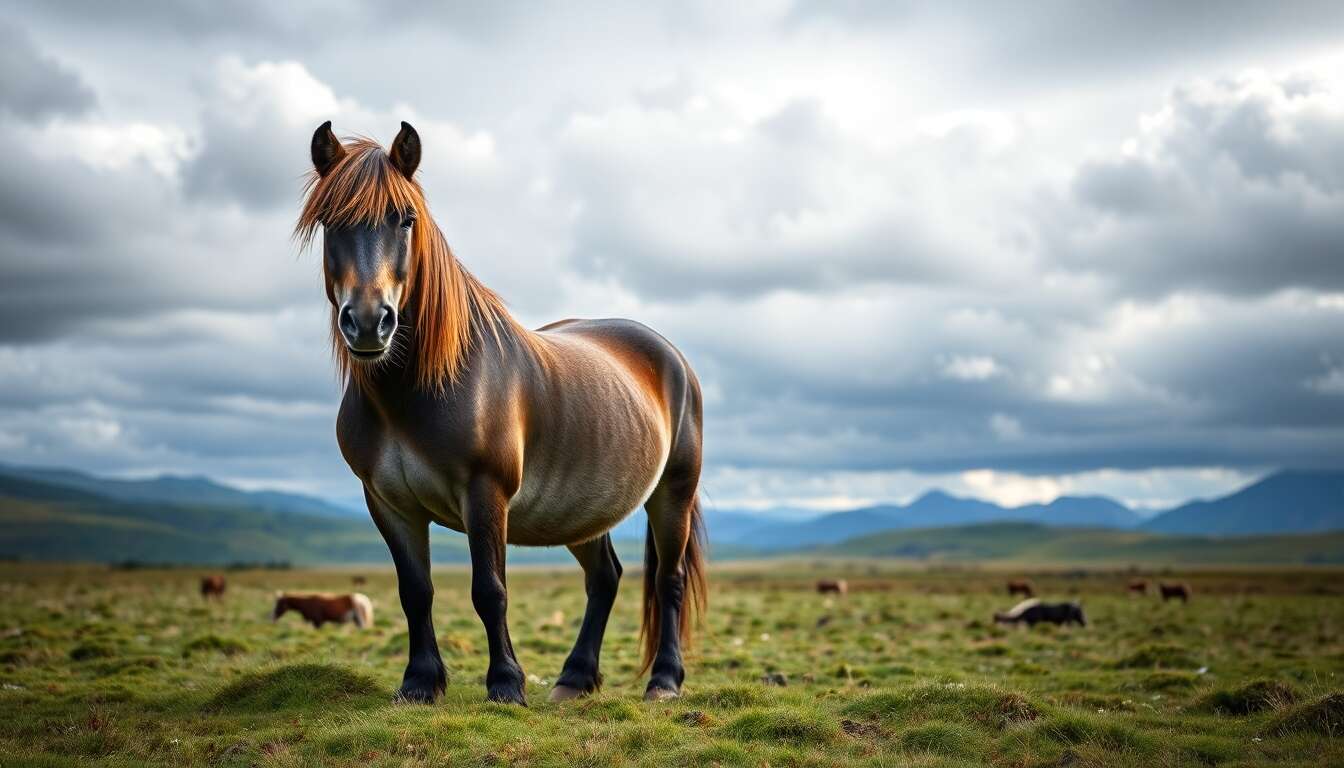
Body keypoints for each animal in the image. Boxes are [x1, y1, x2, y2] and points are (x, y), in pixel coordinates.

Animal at [296, 122, 707, 705]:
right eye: (330, 221)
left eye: (406, 219)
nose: (371, 322)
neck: (416, 392)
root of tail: (670, 355)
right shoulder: (388, 503)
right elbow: (415, 591)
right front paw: (419, 682)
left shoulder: (485, 492)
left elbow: (489, 590)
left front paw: (506, 684)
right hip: (581, 509)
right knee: (604, 578)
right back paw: (574, 679)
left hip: (673, 493)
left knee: (668, 580)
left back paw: (665, 682)